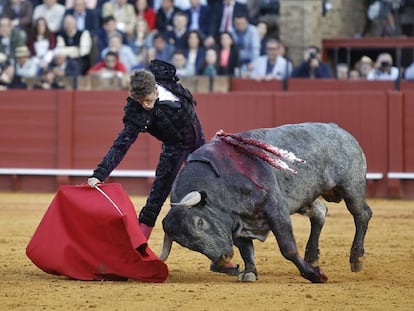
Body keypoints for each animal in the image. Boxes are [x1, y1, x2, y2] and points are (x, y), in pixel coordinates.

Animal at [158, 123, 372, 284]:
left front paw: (315, 276)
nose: (223, 258)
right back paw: (312, 257)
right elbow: (246, 249)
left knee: (362, 214)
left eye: (200, 222)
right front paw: (250, 272)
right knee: (320, 212)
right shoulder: (237, 223)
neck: (221, 181)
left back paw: (356, 258)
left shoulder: (276, 209)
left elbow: (287, 248)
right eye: (186, 244)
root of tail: (338, 129)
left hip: (351, 185)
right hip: (308, 196)